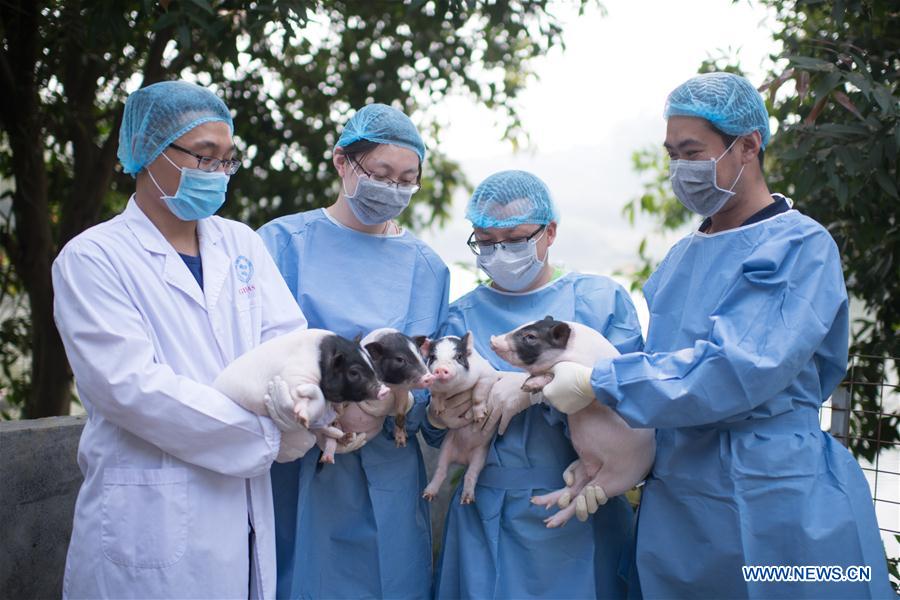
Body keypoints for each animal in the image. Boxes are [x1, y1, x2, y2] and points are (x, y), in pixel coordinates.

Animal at [213, 328, 389, 463]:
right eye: (354, 372)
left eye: (371, 362)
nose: (384, 390)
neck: (322, 360)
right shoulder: (293, 378)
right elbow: (315, 394)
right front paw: (302, 416)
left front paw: (337, 411)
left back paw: (348, 438)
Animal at [420, 333, 499, 504]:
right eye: (433, 357)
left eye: (458, 357)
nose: (441, 368)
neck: (453, 389)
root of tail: (462, 459)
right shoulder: (432, 387)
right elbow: (436, 396)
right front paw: (438, 410)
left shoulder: (488, 375)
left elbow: (478, 393)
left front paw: (479, 417)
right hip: (446, 447)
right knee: (441, 470)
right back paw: (428, 495)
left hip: (480, 454)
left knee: (471, 474)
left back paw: (467, 500)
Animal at [490, 316, 656, 528]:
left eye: (531, 336)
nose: (493, 339)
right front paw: (527, 385)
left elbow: (552, 375)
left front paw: (530, 385)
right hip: (584, 464)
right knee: (573, 488)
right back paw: (541, 502)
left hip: (619, 476)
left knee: (581, 499)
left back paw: (551, 521)